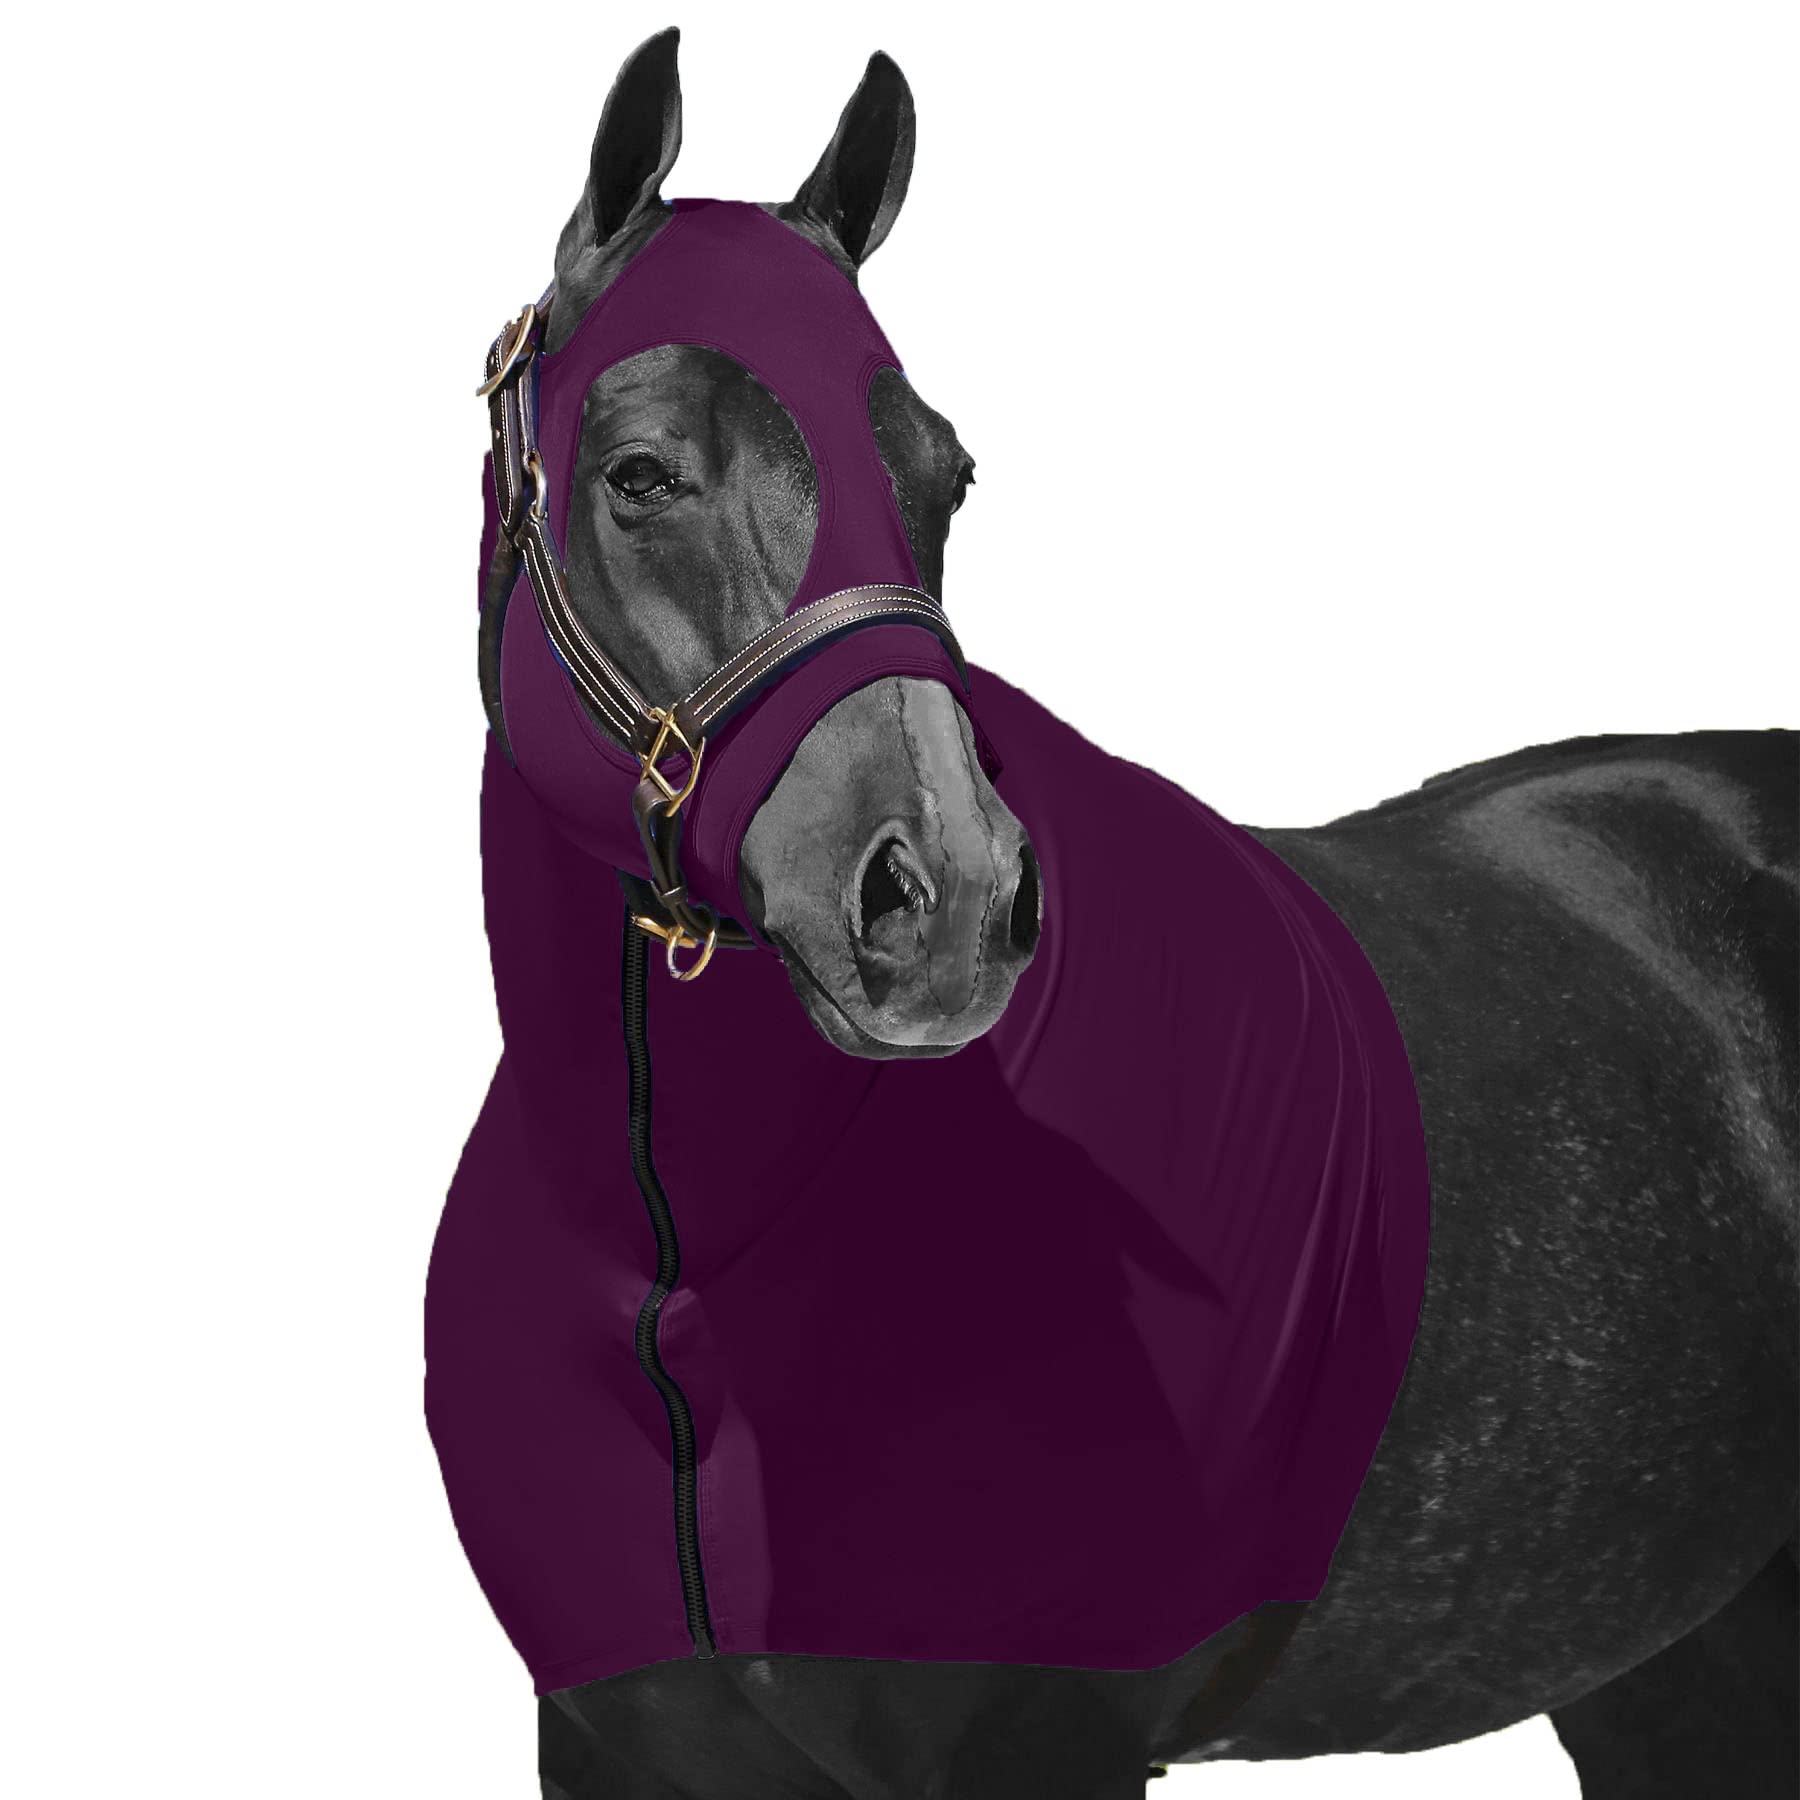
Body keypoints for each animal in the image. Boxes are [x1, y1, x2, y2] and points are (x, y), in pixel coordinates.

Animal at [440, 30, 1798, 1798]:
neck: (691, 1274)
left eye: (944, 474)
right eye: (641, 474)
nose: (946, 898)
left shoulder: (1045, 1743)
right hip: (1676, 1664)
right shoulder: (617, 1746)